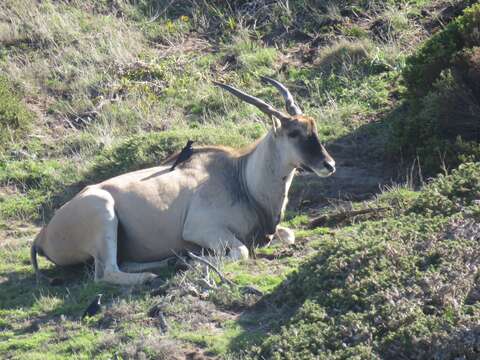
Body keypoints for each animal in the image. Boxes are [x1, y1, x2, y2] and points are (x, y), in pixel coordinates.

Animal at [31, 77, 336, 286]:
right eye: (294, 133)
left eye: (314, 127)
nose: (329, 165)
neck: (241, 178)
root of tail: (42, 235)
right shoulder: (202, 230)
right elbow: (240, 251)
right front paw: (193, 262)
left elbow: (288, 234)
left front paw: (186, 259)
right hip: (103, 211)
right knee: (106, 272)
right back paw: (157, 273)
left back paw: (170, 261)